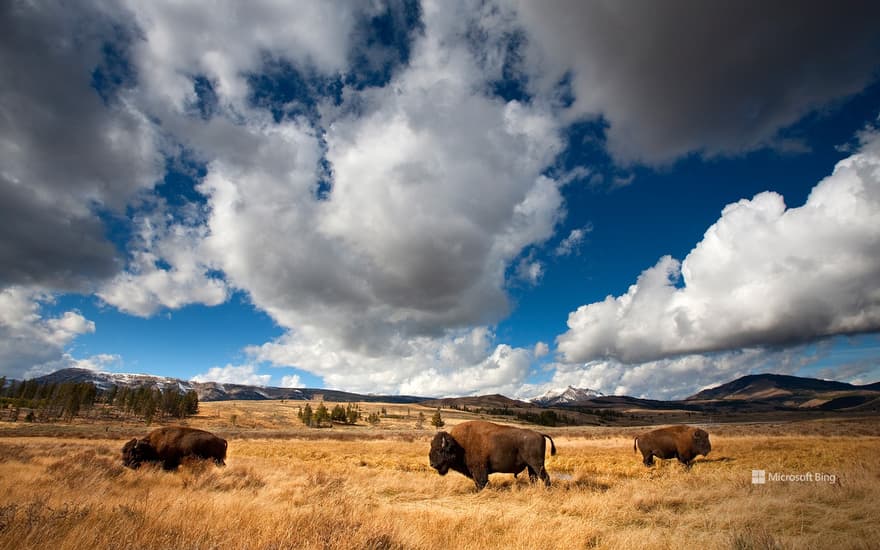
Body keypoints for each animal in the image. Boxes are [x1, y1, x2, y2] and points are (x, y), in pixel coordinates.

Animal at [428, 422, 556, 492]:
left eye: (440, 450)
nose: (432, 464)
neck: (459, 444)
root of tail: (540, 434)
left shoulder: (480, 470)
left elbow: (482, 482)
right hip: (531, 467)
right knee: (534, 478)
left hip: (537, 465)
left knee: (545, 477)